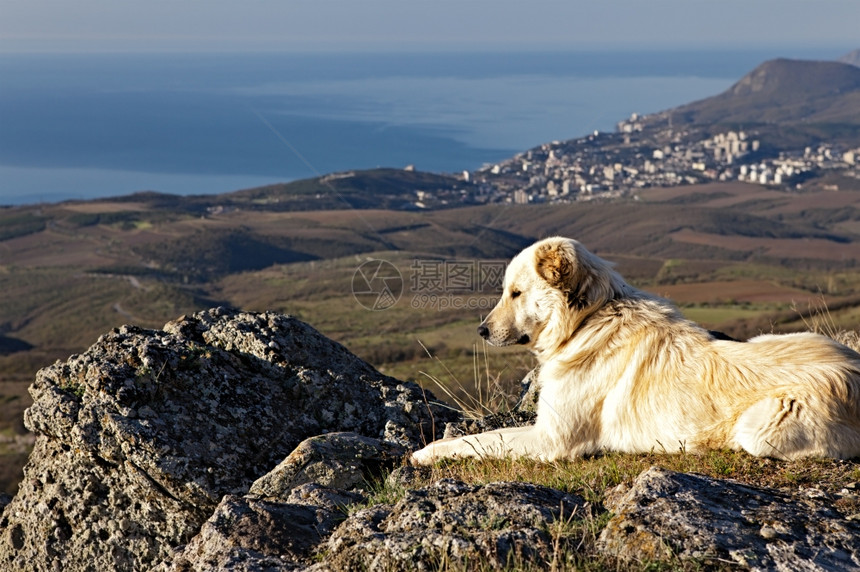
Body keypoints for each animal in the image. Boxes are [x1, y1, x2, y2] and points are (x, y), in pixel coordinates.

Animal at [410, 237, 860, 464]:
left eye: (516, 293)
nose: (481, 330)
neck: (588, 321)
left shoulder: (551, 439)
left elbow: (481, 440)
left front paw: (427, 453)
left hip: (762, 426)